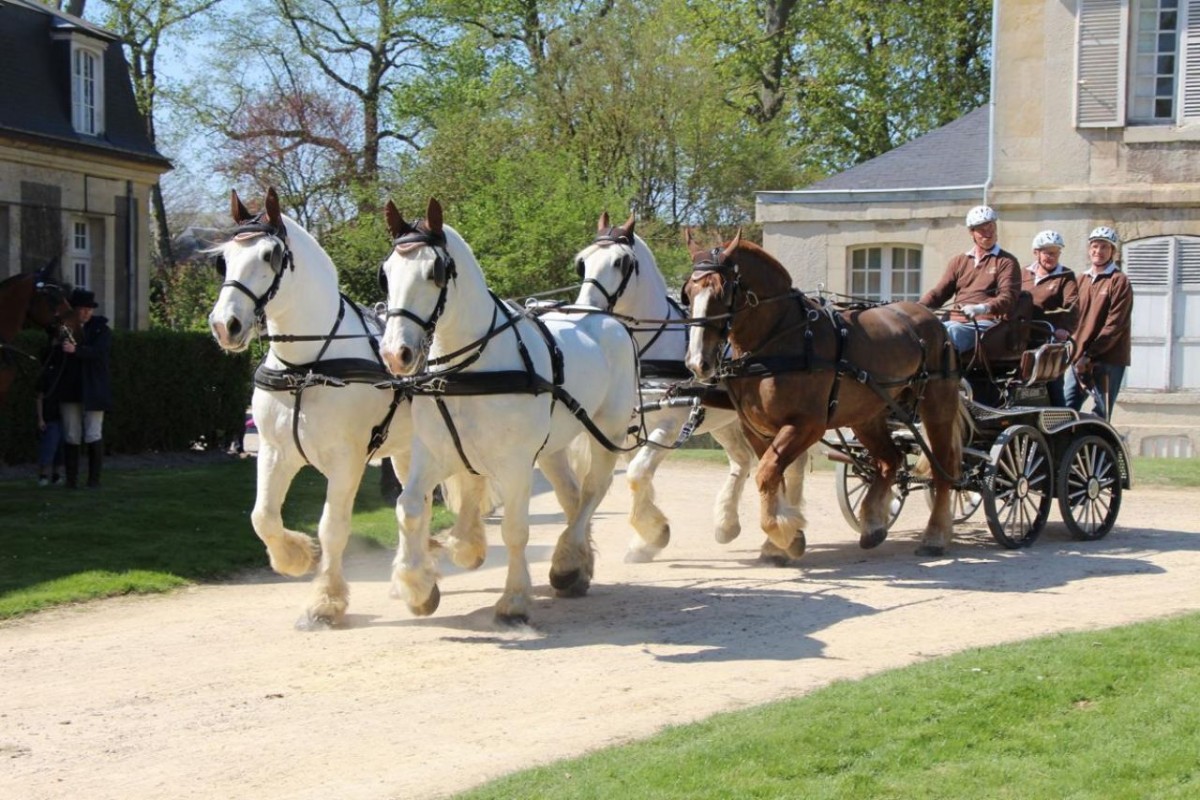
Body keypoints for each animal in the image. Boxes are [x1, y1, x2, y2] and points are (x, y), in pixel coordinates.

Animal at [207, 189, 487, 633]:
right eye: (223, 260)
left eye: (270, 255)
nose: (225, 325)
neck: (307, 367)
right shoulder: (273, 451)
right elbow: (262, 517)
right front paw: (295, 556)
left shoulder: (347, 460)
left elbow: (332, 528)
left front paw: (326, 602)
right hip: (408, 450)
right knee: (420, 500)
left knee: (469, 484)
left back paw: (464, 548)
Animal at [376, 196, 643, 623]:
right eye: (385, 274)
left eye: (435, 271)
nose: (394, 354)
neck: (468, 368)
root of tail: (605, 318)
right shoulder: (434, 453)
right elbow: (411, 508)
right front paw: (420, 586)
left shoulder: (516, 464)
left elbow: (515, 531)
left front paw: (514, 600)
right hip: (552, 448)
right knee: (572, 497)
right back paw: (578, 564)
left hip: (608, 431)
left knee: (593, 491)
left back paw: (567, 564)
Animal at [571, 212, 806, 563]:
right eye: (582, 262)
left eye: (620, 262)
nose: (585, 309)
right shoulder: (628, 427)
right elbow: (638, 476)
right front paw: (647, 539)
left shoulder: (669, 424)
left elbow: (637, 474)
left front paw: (653, 532)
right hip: (726, 421)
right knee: (743, 460)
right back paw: (727, 524)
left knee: (790, 467)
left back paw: (782, 536)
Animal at [686, 231, 964, 556]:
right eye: (689, 292)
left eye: (722, 291)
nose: (698, 362)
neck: (782, 339)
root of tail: (933, 319)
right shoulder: (757, 430)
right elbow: (773, 477)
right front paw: (783, 539)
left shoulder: (806, 425)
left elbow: (767, 473)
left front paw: (782, 534)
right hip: (866, 416)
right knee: (890, 461)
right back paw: (873, 525)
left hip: (937, 408)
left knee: (943, 468)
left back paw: (935, 535)